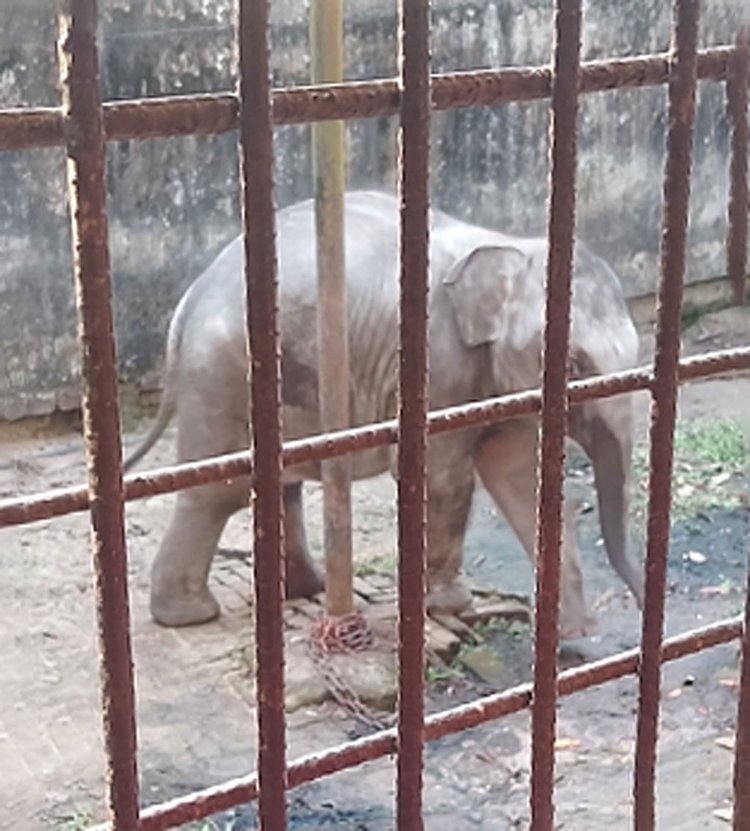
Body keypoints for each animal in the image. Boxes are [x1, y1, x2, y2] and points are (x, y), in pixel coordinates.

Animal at [125, 188, 648, 632]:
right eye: (575, 365)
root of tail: (187, 305)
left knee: (279, 484)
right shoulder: (440, 360)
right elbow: (445, 478)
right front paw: (450, 606)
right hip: (223, 376)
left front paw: (573, 635)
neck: (509, 247)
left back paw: (306, 590)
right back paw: (191, 616)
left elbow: (517, 477)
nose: (641, 607)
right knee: (219, 494)